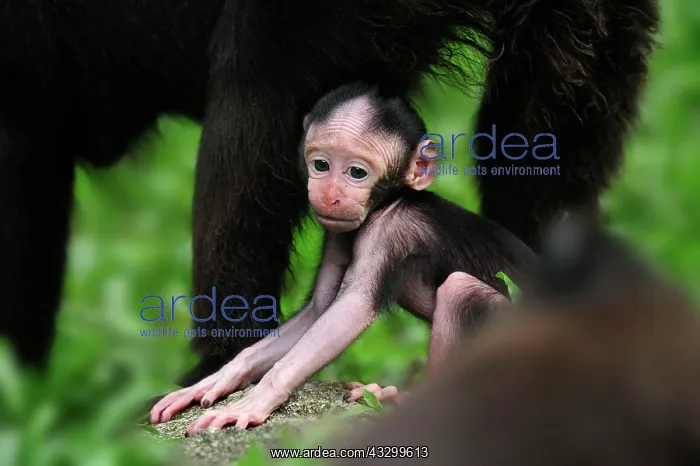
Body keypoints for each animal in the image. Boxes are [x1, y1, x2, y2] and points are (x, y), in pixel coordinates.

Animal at [149, 81, 536, 434]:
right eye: (321, 165)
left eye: (357, 172)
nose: (330, 195)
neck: (388, 202)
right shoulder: (337, 232)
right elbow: (320, 308)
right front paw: (214, 379)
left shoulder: (388, 231)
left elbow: (352, 308)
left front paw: (258, 398)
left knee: (459, 290)